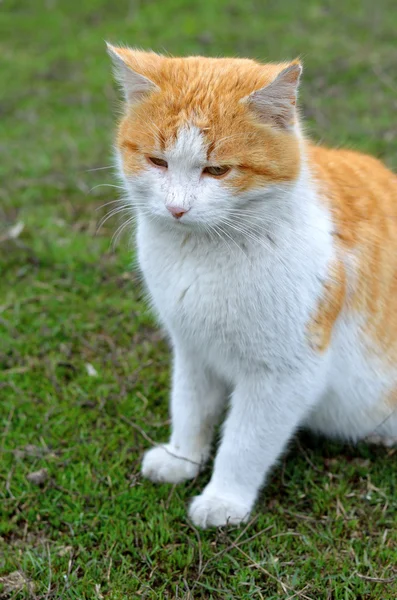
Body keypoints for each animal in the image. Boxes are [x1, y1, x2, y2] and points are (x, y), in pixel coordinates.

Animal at [106, 44, 396, 528]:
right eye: (157, 162)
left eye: (217, 170)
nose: (176, 209)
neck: (200, 253)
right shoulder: (193, 348)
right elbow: (190, 407)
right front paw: (182, 458)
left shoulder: (284, 373)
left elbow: (244, 443)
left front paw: (223, 499)